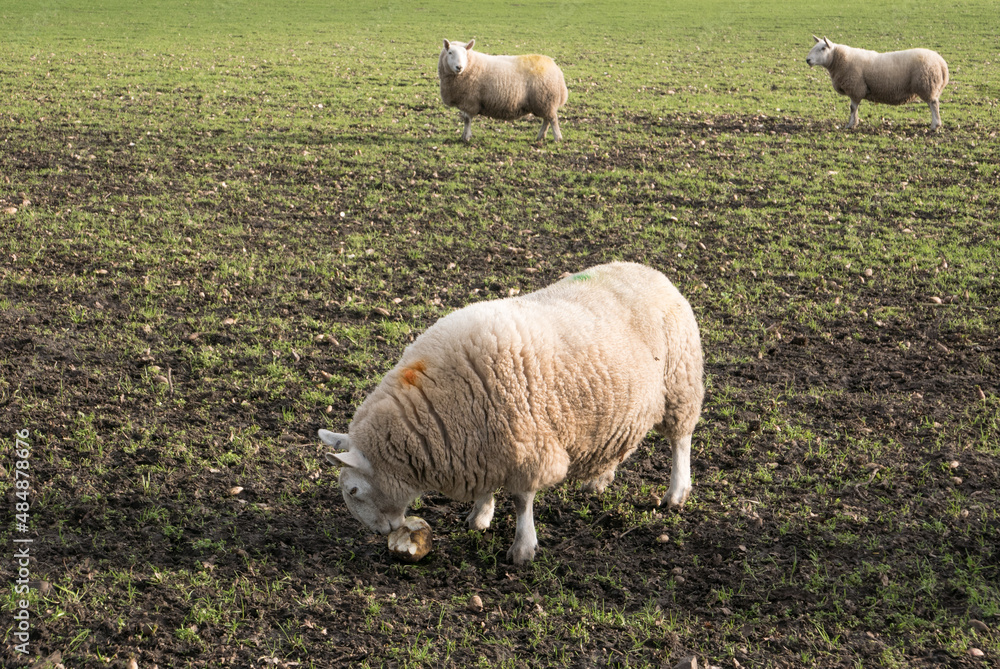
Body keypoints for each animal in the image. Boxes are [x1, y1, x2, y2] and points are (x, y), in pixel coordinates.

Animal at [319, 262, 704, 565]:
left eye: (353, 490)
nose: (380, 531)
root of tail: (650, 271)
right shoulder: (482, 443)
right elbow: (487, 488)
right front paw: (480, 515)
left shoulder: (527, 444)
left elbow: (521, 501)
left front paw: (522, 548)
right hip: (623, 403)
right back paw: (599, 479)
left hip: (680, 383)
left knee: (681, 441)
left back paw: (676, 493)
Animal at [438, 38, 568, 142]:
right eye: (450, 52)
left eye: (465, 53)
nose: (459, 67)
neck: (470, 66)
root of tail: (556, 68)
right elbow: (466, 119)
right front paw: (464, 136)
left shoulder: (469, 100)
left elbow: (467, 120)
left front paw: (466, 137)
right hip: (544, 102)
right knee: (547, 119)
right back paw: (541, 136)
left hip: (547, 98)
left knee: (552, 119)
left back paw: (557, 138)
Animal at [806, 36, 949, 130]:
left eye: (823, 48)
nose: (808, 60)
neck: (838, 60)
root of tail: (942, 63)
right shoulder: (855, 90)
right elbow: (853, 108)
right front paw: (853, 123)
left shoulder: (856, 88)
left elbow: (852, 108)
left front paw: (851, 125)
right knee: (933, 103)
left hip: (927, 84)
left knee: (933, 104)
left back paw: (935, 125)